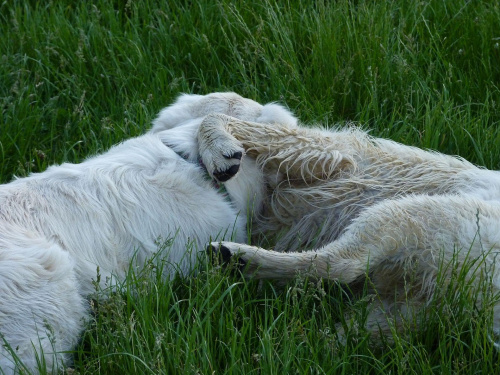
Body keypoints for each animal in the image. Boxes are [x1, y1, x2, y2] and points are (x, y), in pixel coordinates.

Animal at [192, 94, 500, 344]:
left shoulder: (325, 152)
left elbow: (222, 122)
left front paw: (218, 150)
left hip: (421, 213)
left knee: (340, 264)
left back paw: (237, 258)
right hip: (408, 309)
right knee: (357, 331)